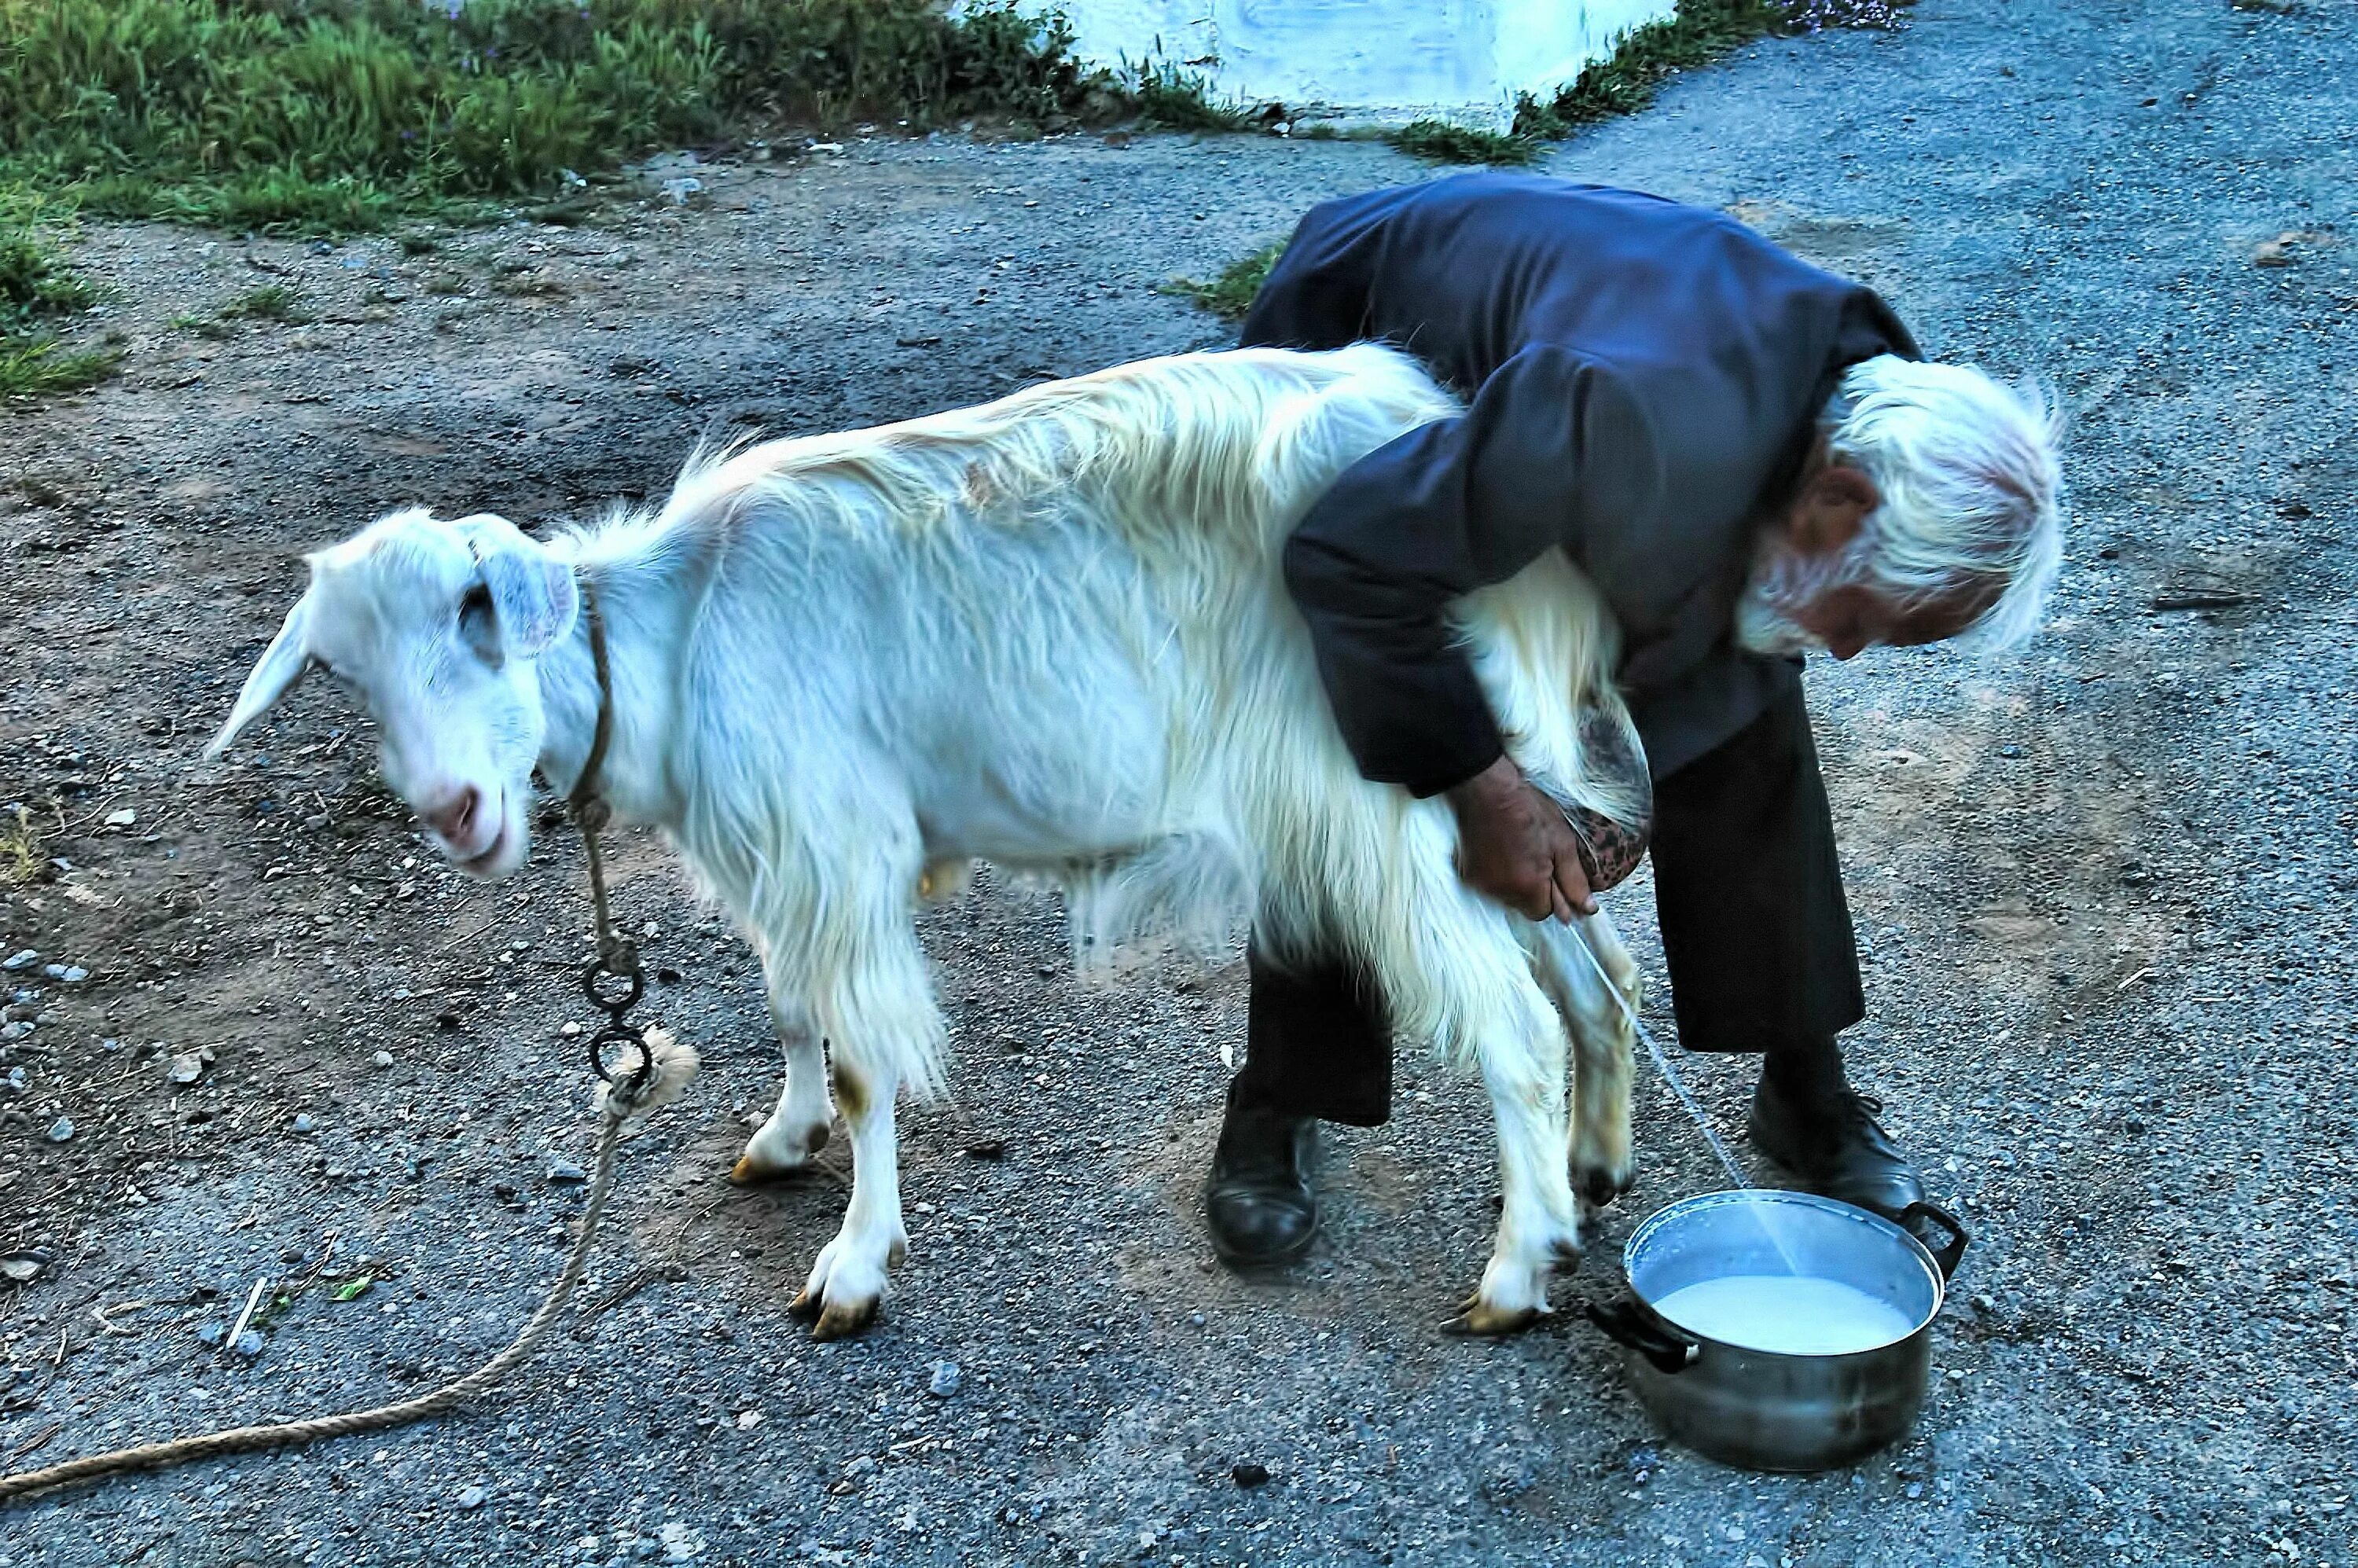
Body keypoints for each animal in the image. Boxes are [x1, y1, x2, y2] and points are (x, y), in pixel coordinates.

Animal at [217, 349, 1660, 1339]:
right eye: (340, 668)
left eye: (477, 609)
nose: (455, 810)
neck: (676, 638)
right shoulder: (787, 860)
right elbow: (790, 1008)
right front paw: (780, 1137)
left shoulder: (836, 849)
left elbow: (865, 1063)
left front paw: (853, 1267)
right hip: (1492, 782)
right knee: (1597, 970)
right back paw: (1593, 1164)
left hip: (1386, 799)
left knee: (1514, 1023)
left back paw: (1519, 1267)